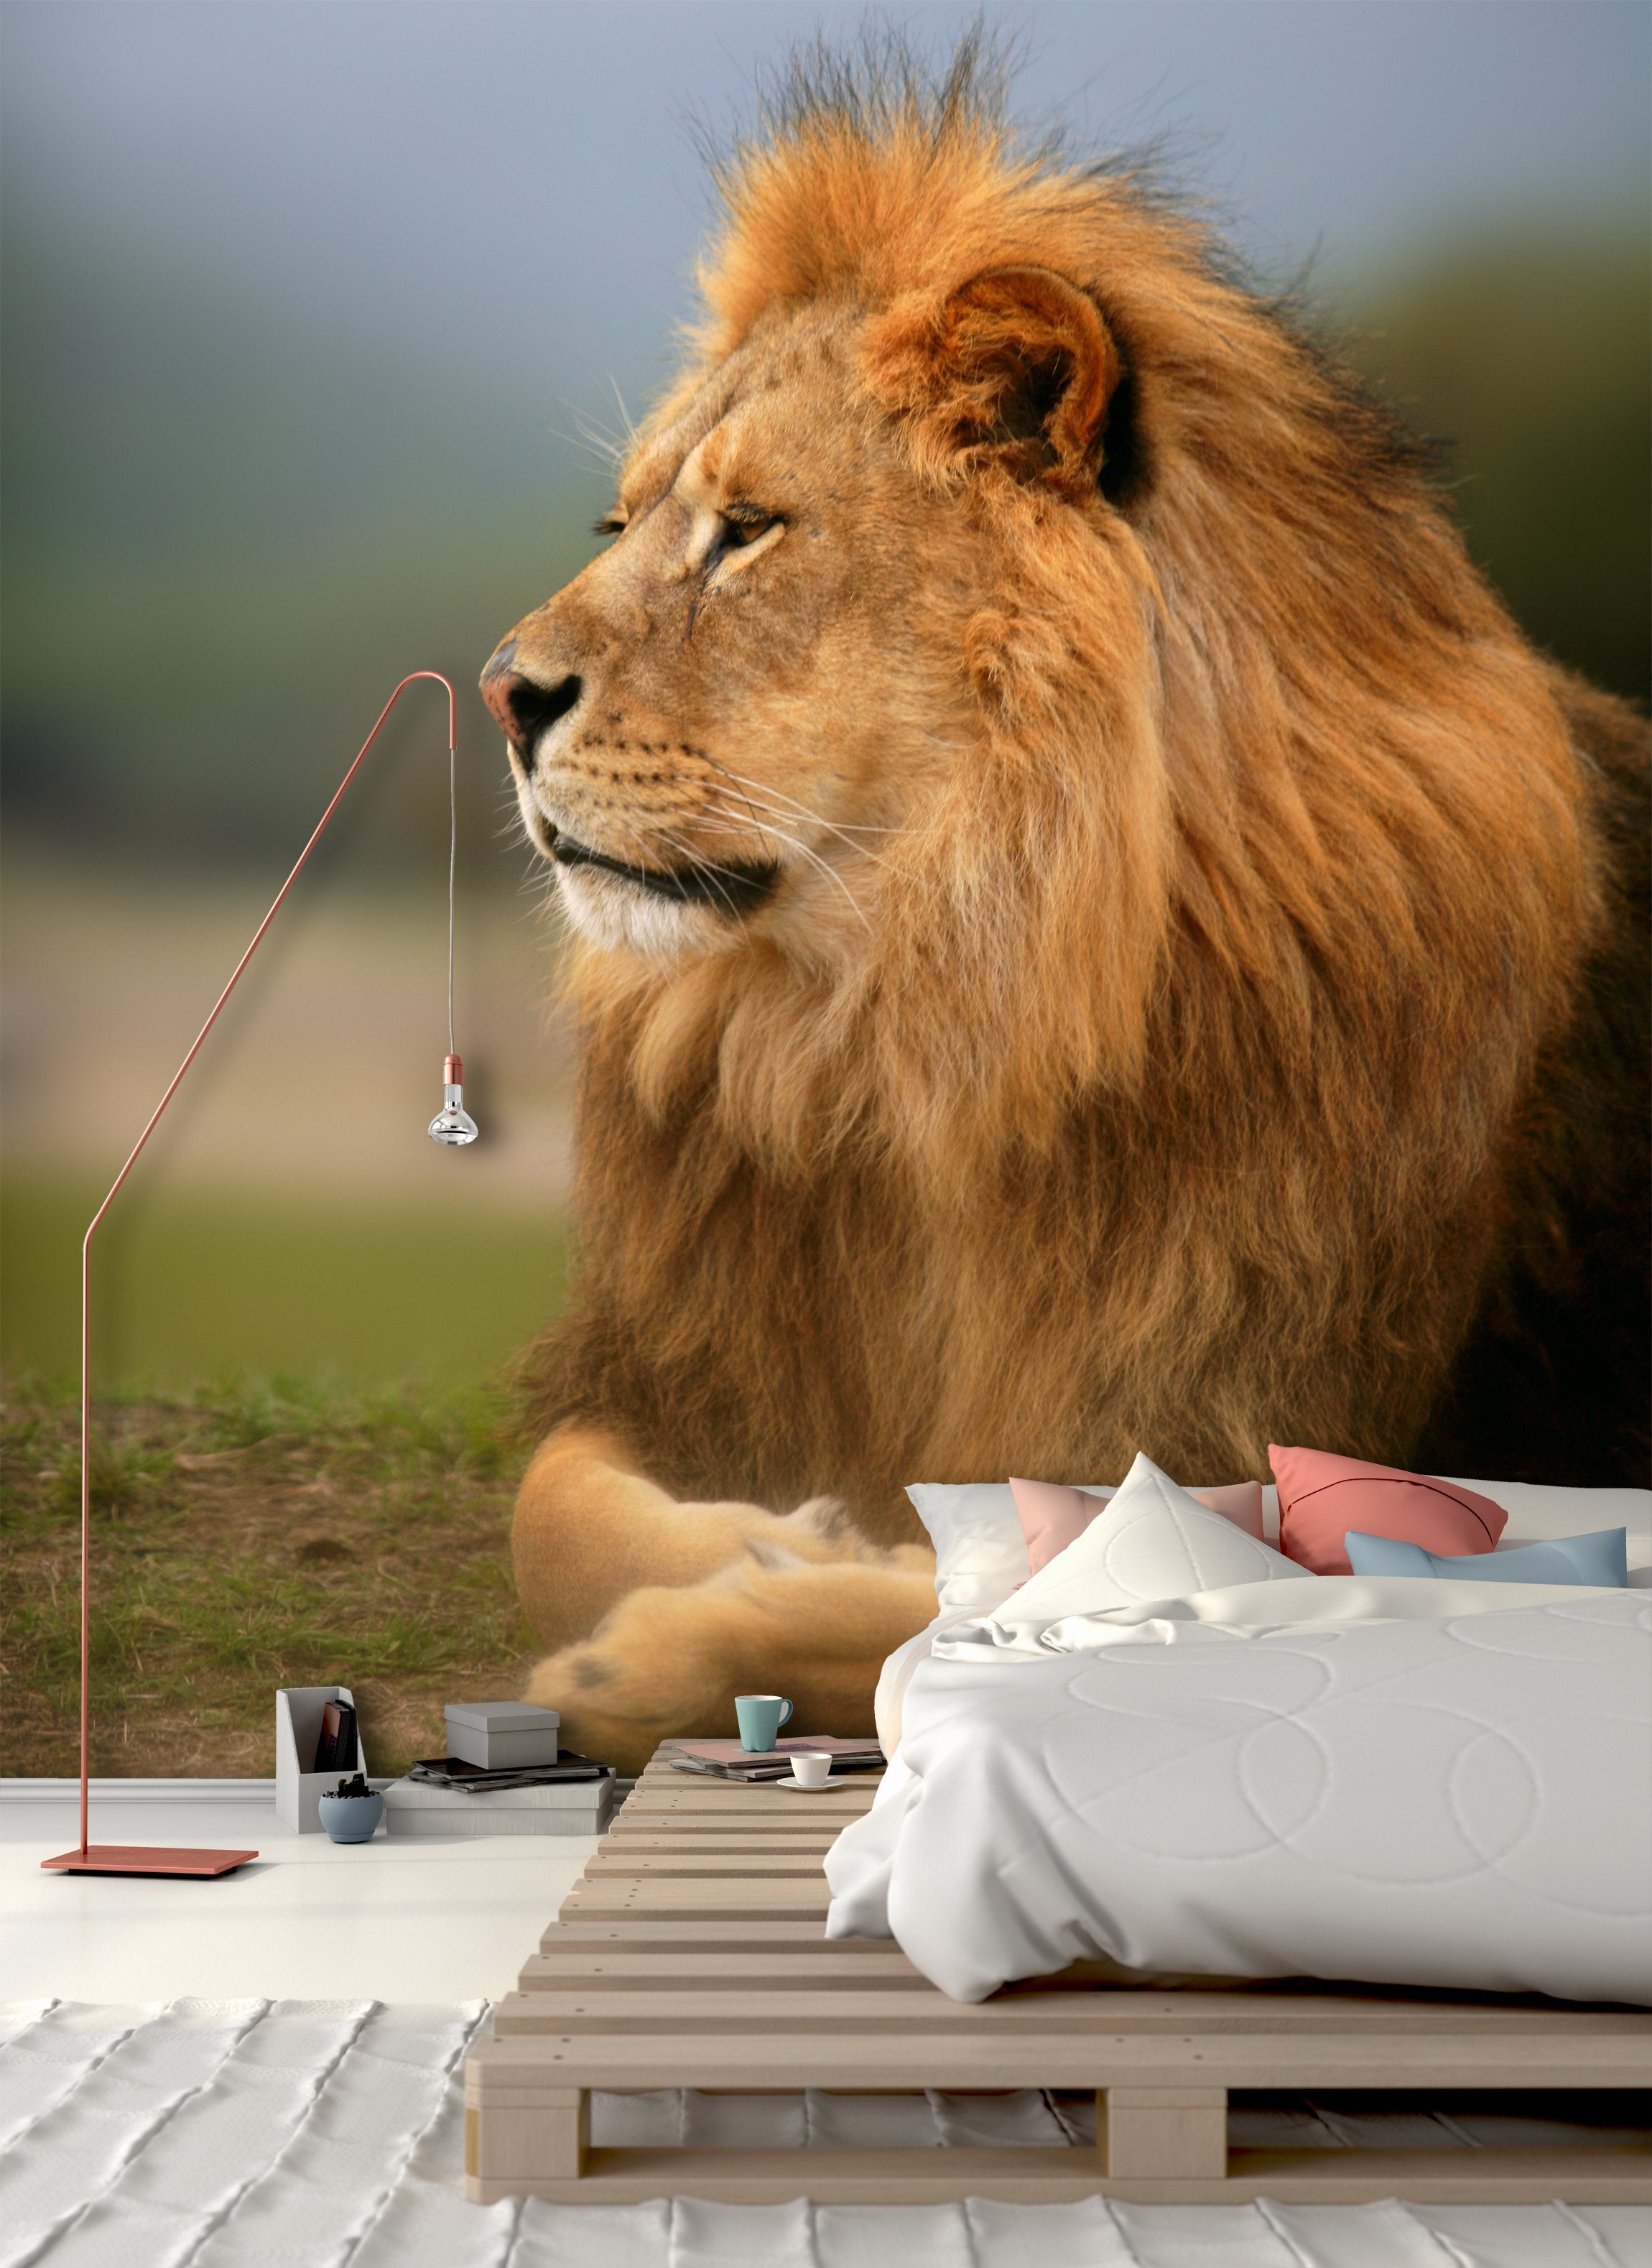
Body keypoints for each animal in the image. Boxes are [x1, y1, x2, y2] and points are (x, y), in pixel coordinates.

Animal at [480, 47, 1649, 1774]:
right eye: (619, 529)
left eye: (749, 529)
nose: (500, 694)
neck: (919, 1029)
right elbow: (546, 1505)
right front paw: (764, 1530)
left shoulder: (1209, 1400)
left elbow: (999, 1603)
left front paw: (688, 1640)